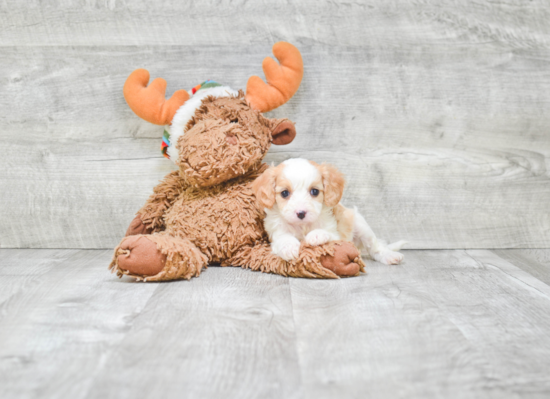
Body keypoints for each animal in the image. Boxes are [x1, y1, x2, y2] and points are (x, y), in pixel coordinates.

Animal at [253, 159, 406, 266]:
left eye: (314, 191)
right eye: (284, 193)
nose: (301, 213)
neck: (303, 226)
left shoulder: (337, 235)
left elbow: (326, 233)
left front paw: (316, 235)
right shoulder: (276, 233)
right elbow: (283, 238)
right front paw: (288, 247)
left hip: (361, 226)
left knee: (375, 248)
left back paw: (390, 256)